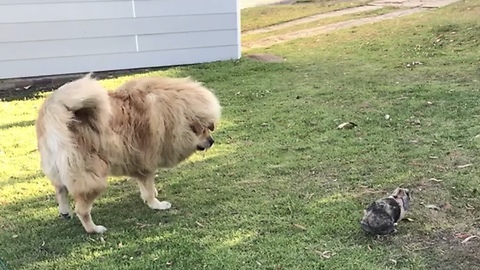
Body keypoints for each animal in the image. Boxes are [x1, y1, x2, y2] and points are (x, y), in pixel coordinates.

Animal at [35, 73, 221, 233]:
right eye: (203, 129)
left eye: (209, 127)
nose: (211, 141)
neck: (171, 113)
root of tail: (57, 112)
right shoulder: (146, 162)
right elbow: (148, 187)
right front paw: (156, 204)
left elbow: (145, 186)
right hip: (90, 176)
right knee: (82, 209)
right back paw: (94, 229)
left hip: (57, 167)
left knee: (60, 189)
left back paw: (65, 212)